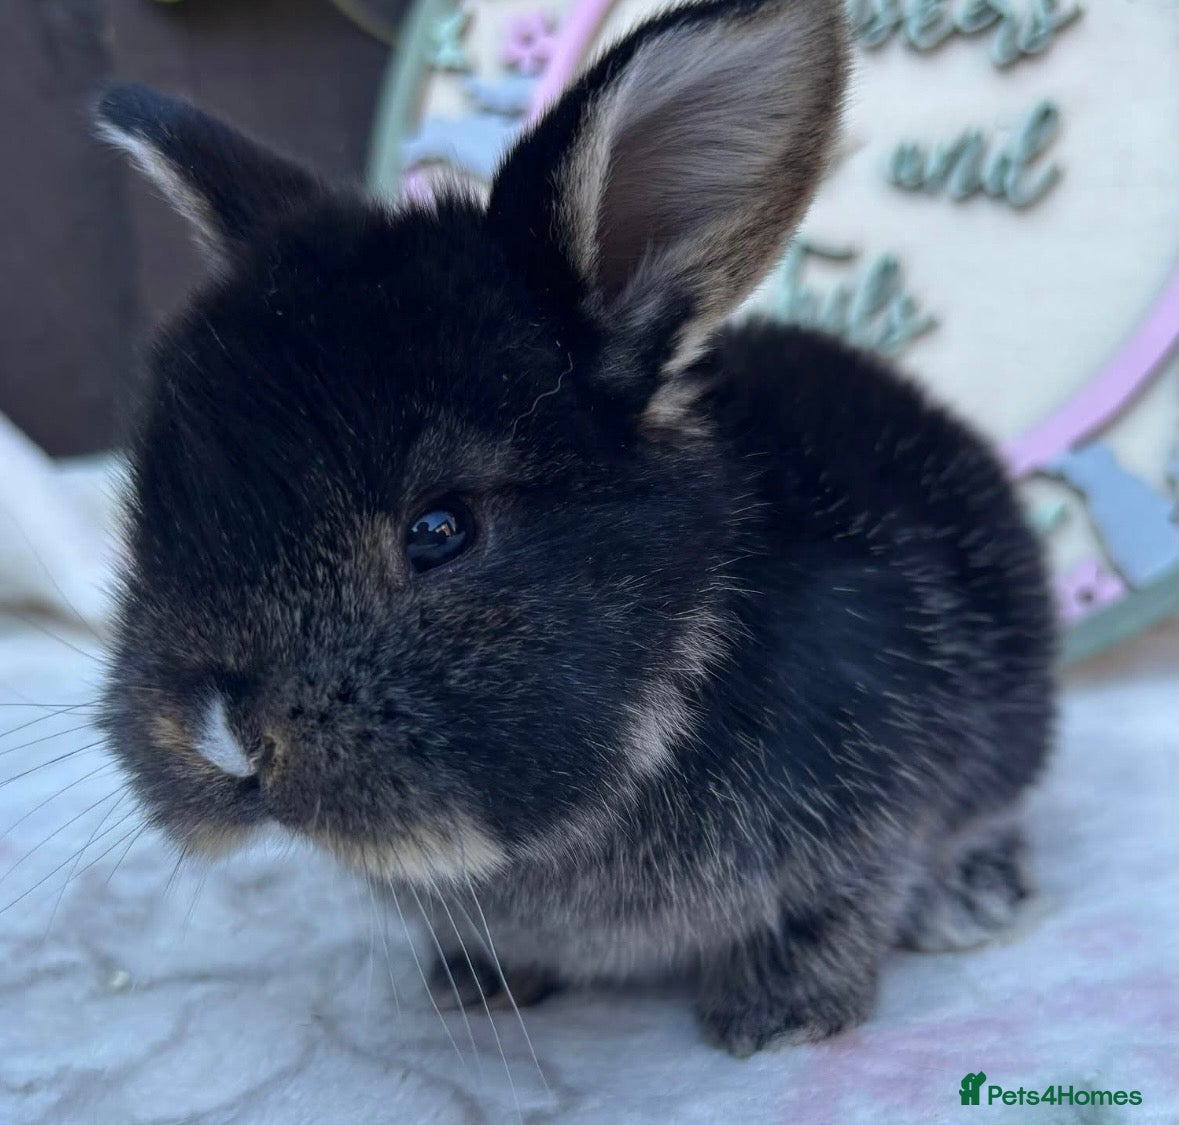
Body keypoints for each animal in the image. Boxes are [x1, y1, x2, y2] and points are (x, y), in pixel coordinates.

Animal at [93, 0, 1056, 1056]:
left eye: (441, 529)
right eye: (150, 508)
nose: (220, 741)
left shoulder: (873, 814)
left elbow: (839, 901)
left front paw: (779, 1016)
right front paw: (471, 981)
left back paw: (970, 898)